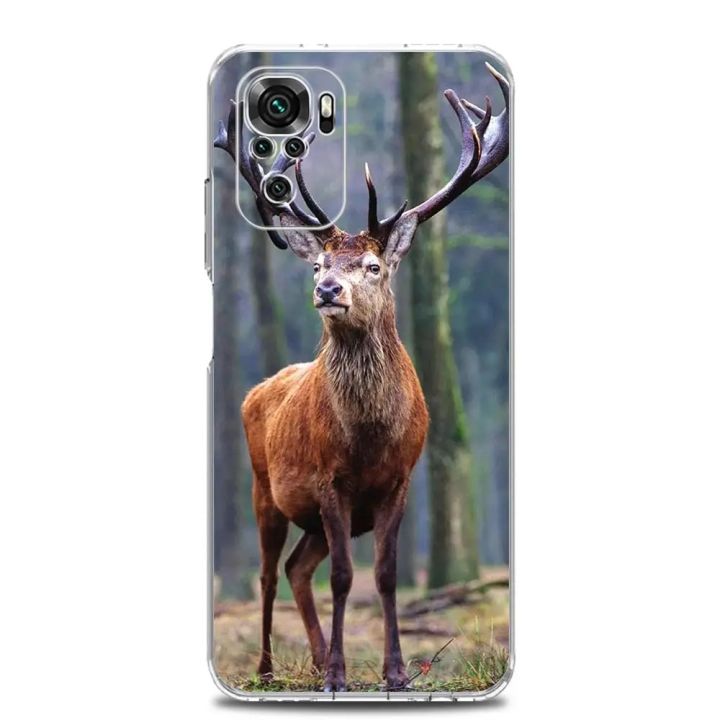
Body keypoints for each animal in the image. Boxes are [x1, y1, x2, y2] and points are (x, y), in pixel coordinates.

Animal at [214, 63, 509, 692]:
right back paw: (270, 669)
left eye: (372, 266)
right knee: (270, 574)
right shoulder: (330, 479)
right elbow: (347, 578)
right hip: (263, 489)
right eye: (319, 264)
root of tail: (257, 389)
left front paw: (395, 673)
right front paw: (339, 676)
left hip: (311, 519)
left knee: (299, 568)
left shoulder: (400, 478)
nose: (328, 290)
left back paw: (316, 657)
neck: (368, 438)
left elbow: (388, 574)